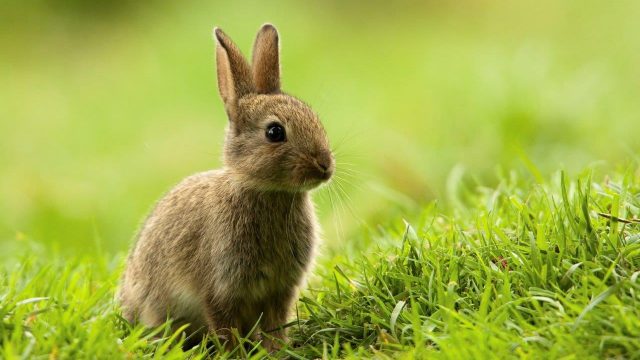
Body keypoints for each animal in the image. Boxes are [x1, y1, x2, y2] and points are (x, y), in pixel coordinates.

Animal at [118, 23, 336, 352]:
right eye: (275, 132)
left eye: (315, 119)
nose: (325, 165)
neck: (267, 192)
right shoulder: (220, 287)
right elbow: (224, 324)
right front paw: (236, 353)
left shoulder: (279, 290)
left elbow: (275, 324)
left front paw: (277, 350)